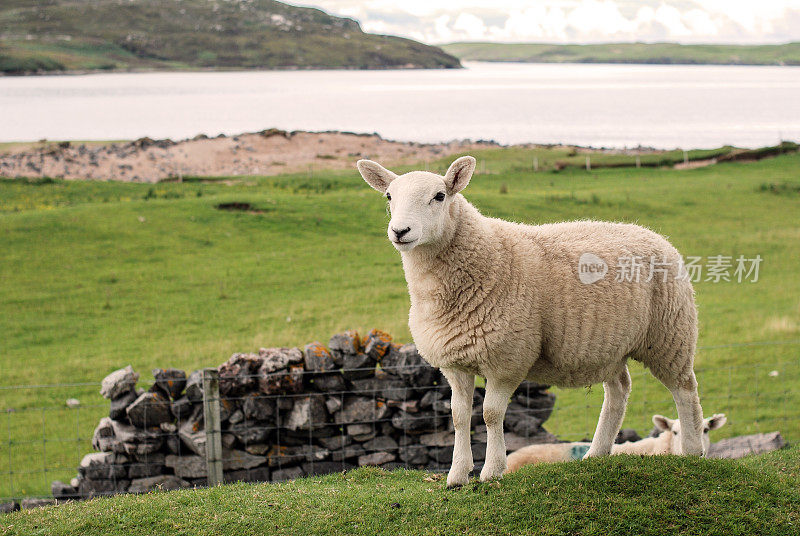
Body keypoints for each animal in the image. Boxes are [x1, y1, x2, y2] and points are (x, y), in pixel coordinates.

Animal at [360, 154, 704, 486]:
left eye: (439, 196)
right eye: (389, 196)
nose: (400, 232)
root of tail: (652, 233)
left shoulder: (507, 358)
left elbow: (490, 414)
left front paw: (492, 471)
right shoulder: (454, 362)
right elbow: (459, 416)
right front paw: (457, 475)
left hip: (670, 333)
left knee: (685, 390)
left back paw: (692, 450)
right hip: (610, 346)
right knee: (619, 391)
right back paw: (596, 453)